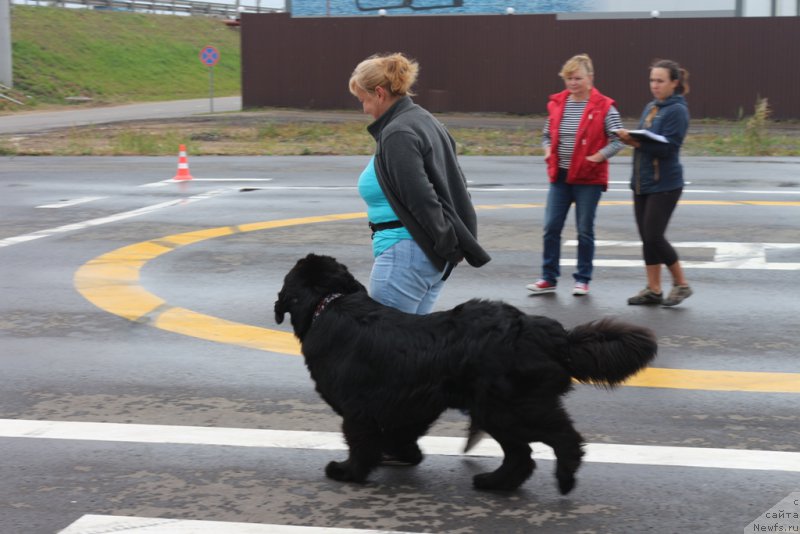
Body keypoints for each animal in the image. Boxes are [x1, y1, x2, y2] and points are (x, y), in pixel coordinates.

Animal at [276, 254, 656, 494]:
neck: (330, 303)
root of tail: (548, 333)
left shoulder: (358, 411)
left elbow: (359, 444)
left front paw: (348, 472)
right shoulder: (410, 403)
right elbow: (401, 433)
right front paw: (405, 455)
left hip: (508, 408)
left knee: (560, 439)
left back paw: (563, 478)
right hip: (495, 409)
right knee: (522, 456)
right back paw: (495, 483)